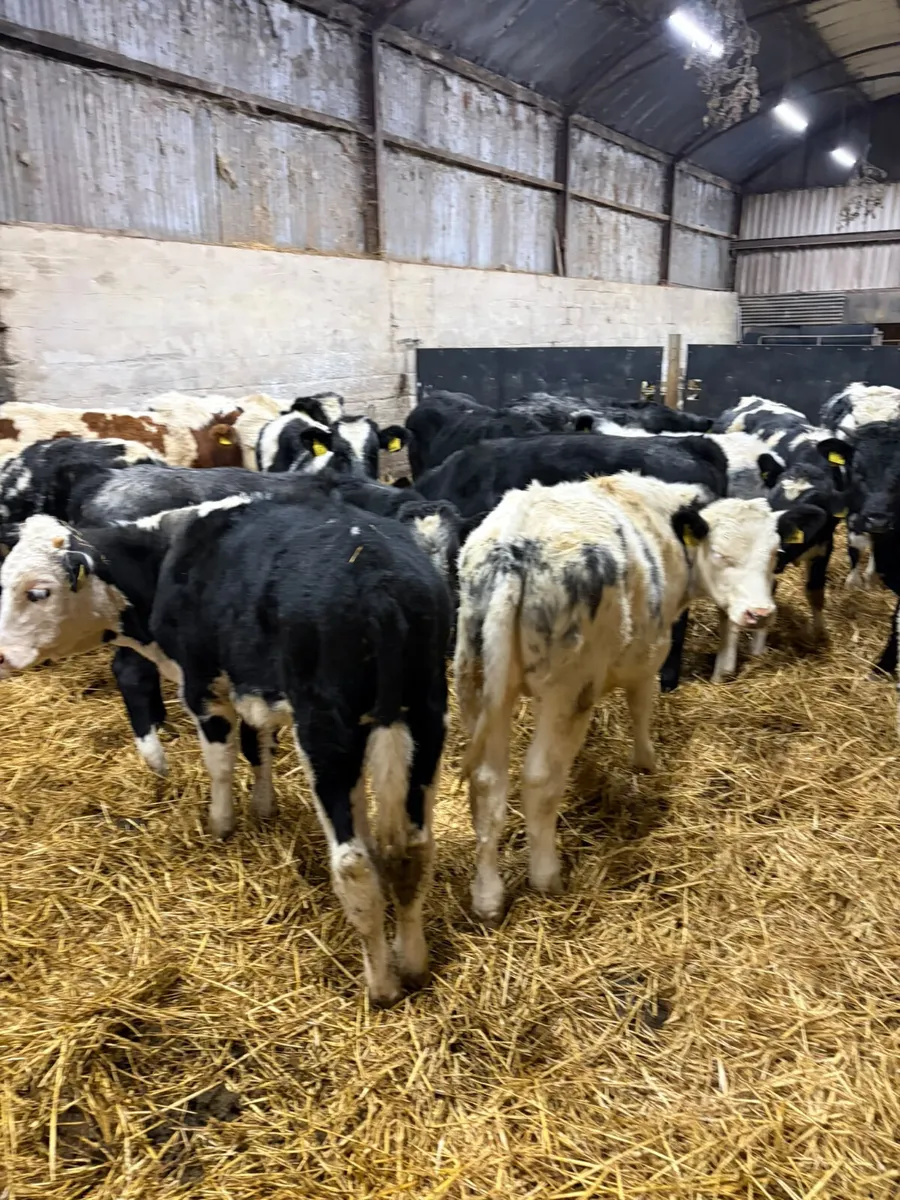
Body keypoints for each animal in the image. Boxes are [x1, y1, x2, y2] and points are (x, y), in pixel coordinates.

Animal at [0, 498, 451, 1005]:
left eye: (38, 591)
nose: (1, 656)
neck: (166, 557)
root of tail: (380, 579)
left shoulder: (204, 687)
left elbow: (220, 762)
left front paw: (221, 824)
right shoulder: (250, 684)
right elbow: (260, 748)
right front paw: (264, 807)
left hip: (328, 732)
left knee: (354, 866)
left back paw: (382, 985)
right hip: (425, 714)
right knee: (413, 851)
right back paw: (412, 964)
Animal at [453, 472, 820, 924]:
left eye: (774, 552)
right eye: (719, 554)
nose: (759, 613)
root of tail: (514, 550)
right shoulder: (651, 650)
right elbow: (642, 705)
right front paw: (647, 763)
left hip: (478, 682)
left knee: (487, 784)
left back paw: (487, 898)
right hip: (567, 690)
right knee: (539, 778)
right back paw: (547, 877)